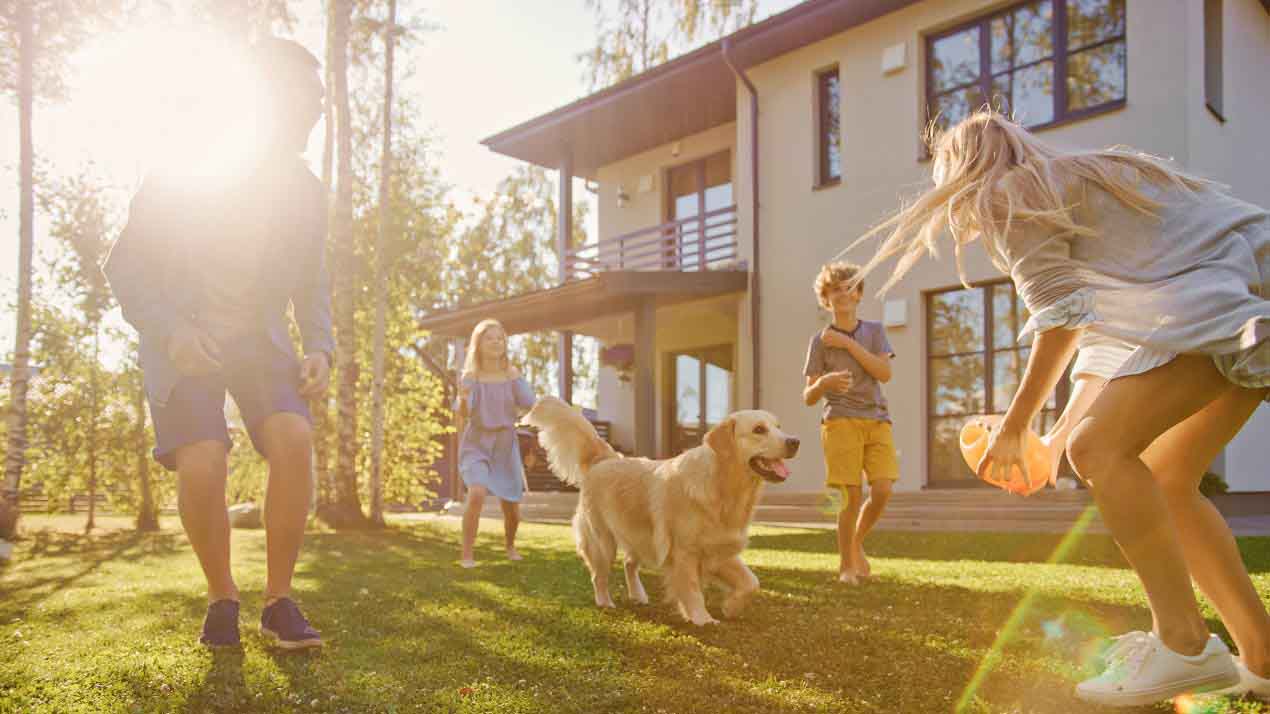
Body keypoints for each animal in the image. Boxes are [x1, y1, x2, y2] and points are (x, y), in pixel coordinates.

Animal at [520, 396, 797, 625]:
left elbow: (752, 582)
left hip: (641, 535)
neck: (722, 487)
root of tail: (607, 458)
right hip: (603, 541)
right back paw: (605, 602)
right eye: (759, 429)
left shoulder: (719, 548)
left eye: (779, 426)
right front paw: (703, 619)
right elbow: (693, 590)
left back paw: (638, 595)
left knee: (629, 563)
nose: (795, 441)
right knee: (599, 576)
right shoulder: (685, 553)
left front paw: (732, 606)